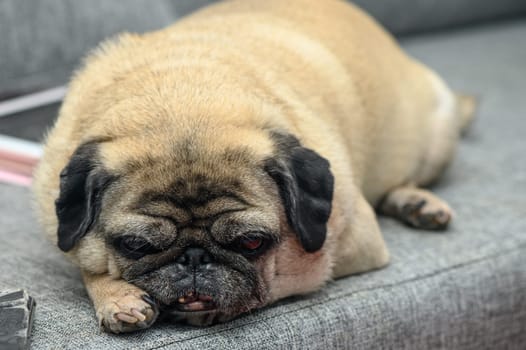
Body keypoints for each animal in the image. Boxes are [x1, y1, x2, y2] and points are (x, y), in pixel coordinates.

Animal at [34, 0, 478, 334]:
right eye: (136, 246)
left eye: (251, 243)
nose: (193, 259)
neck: (184, 93)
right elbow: (86, 267)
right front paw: (116, 296)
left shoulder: (348, 248)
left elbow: (270, 285)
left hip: (435, 140)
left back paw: (416, 202)